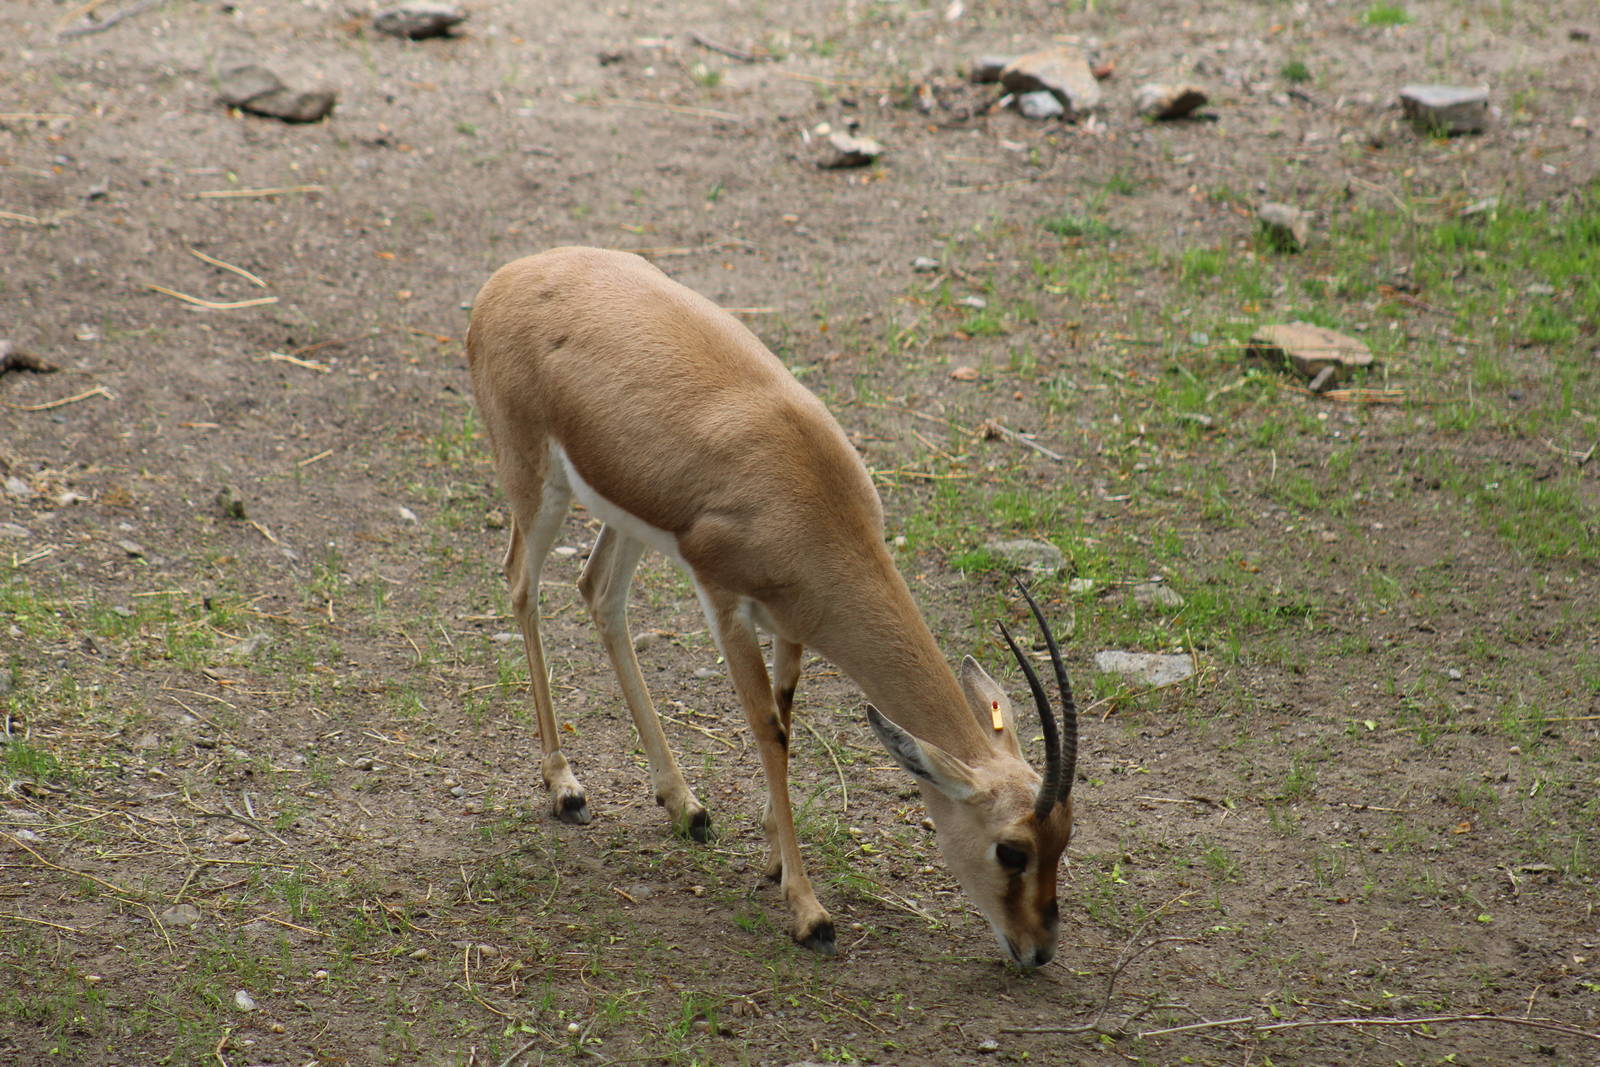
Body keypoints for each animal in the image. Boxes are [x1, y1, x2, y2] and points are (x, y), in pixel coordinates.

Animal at [465, 247, 1079, 968]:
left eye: (1066, 837)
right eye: (1012, 849)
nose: (1039, 949)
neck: (812, 495)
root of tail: (512, 275)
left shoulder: (792, 623)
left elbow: (786, 713)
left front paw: (772, 859)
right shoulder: (725, 602)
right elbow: (768, 729)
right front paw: (810, 912)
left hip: (625, 515)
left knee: (599, 593)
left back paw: (685, 805)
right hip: (536, 482)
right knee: (521, 585)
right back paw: (565, 788)